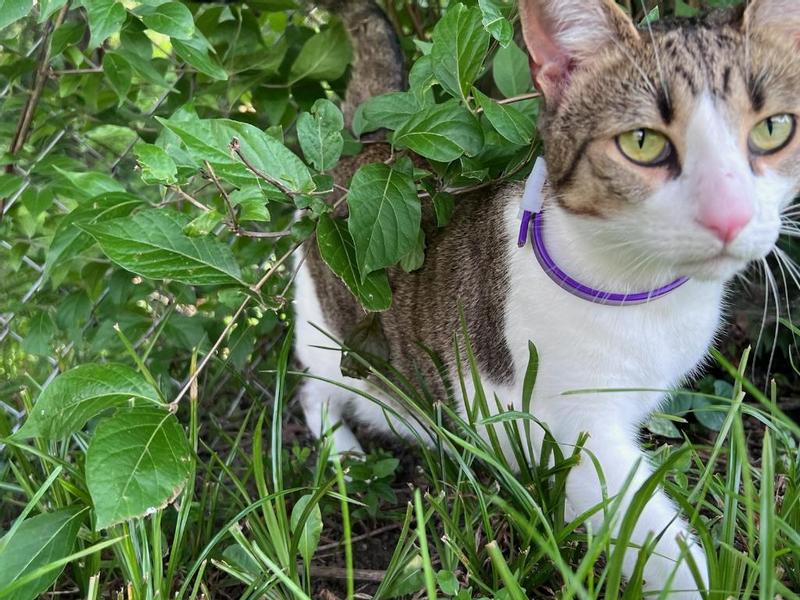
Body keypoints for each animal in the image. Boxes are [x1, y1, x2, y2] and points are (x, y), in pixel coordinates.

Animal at [294, 0, 800, 596]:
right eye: (643, 143)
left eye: (773, 129)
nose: (730, 216)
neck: (647, 294)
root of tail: (369, 142)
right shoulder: (571, 432)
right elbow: (647, 529)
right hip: (332, 340)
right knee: (315, 390)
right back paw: (345, 454)